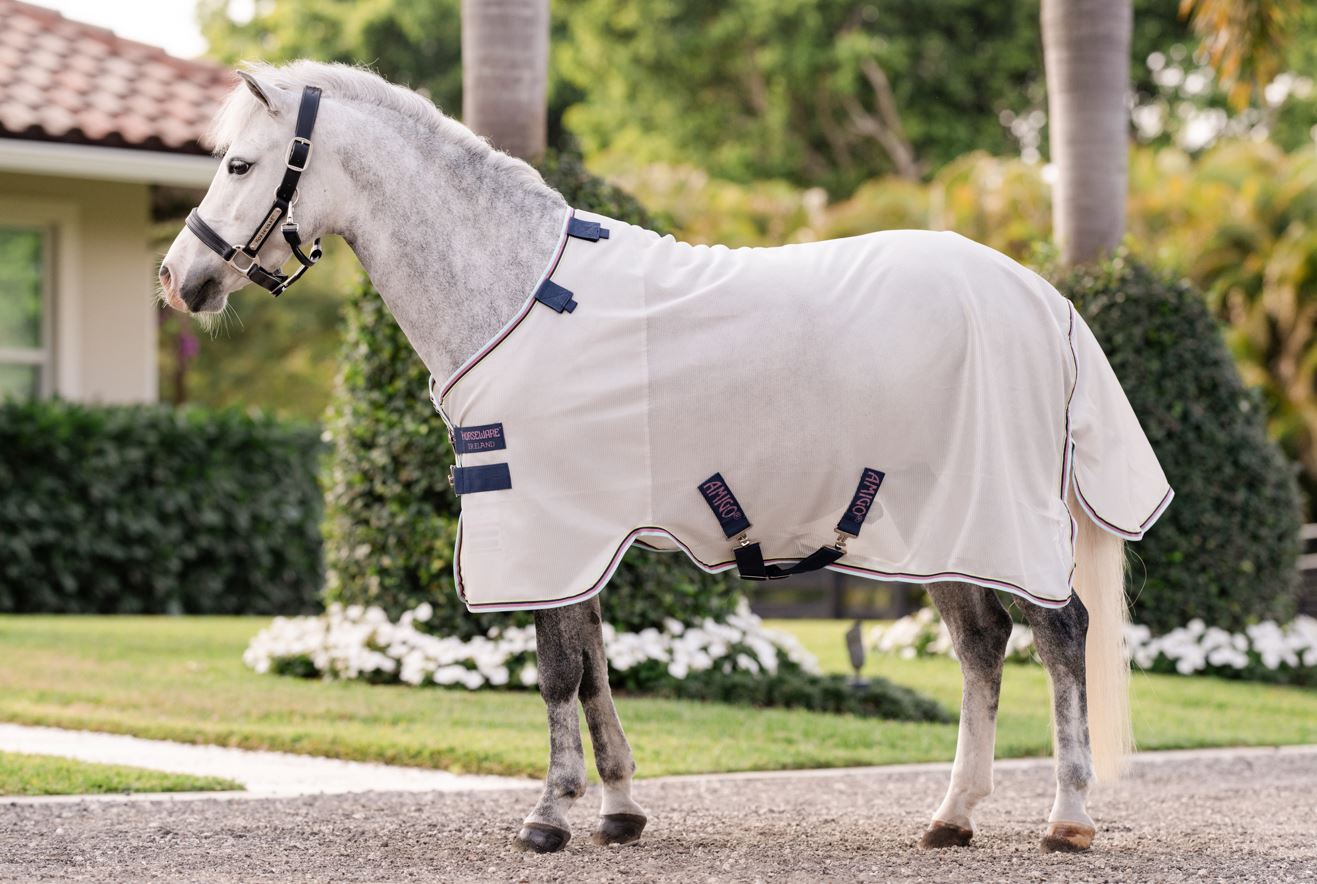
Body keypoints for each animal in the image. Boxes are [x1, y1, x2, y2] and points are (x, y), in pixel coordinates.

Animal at [160, 61, 1165, 855]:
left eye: (239, 164)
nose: (179, 279)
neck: (516, 290)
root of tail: (1042, 298)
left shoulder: (546, 527)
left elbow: (558, 671)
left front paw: (549, 817)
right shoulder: (580, 536)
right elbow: (595, 664)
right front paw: (617, 810)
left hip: (998, 521)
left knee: (1059, 635)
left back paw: (1067, 817)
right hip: (945, 530)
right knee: (981, 648)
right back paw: (951, 817)